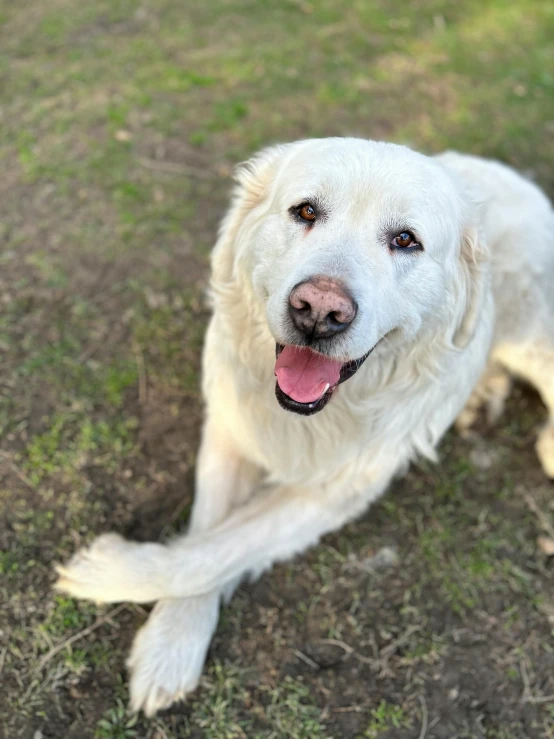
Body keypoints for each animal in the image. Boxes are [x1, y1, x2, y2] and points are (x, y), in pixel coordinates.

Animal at [56, 139, 552, 716]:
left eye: (405, 240)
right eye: (306, 212)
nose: (319, 309)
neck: (315, 415)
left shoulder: (335, 494)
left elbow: (216, 551)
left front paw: (106, 571)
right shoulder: (230, 430)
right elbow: (205, 534)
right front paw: (171, 641)